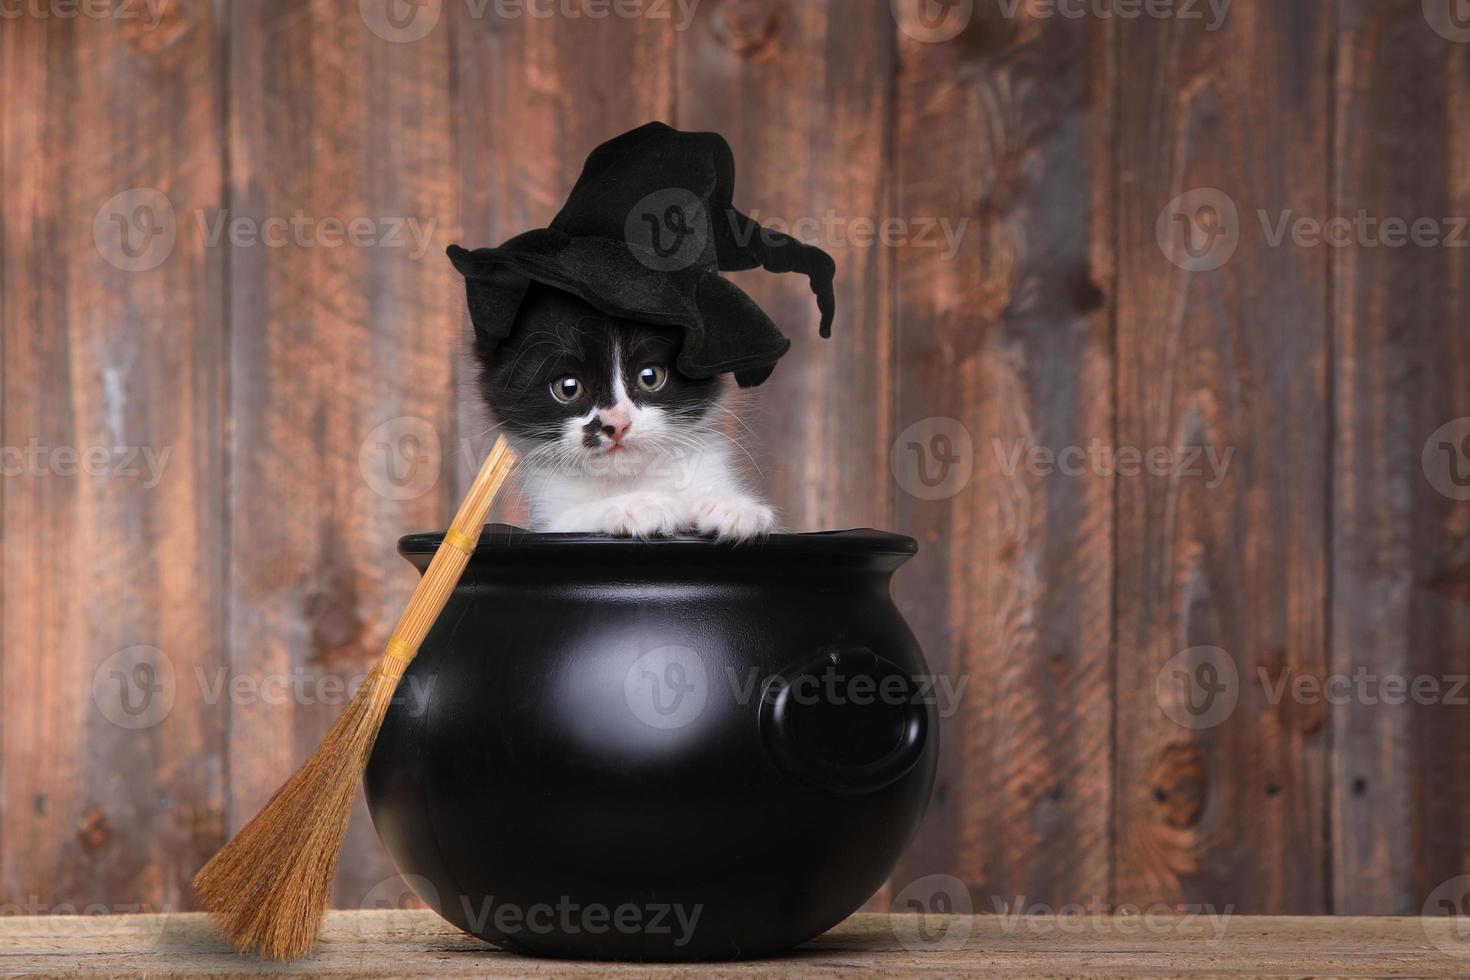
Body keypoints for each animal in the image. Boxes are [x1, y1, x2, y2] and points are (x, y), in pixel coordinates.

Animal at [479, 283, 782, 543]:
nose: (616, 424)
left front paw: (735, 508)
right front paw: (639, 505)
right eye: (568, 388)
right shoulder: (548, 515)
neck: (628, 478)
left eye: (650, 377)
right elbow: (568, 520)